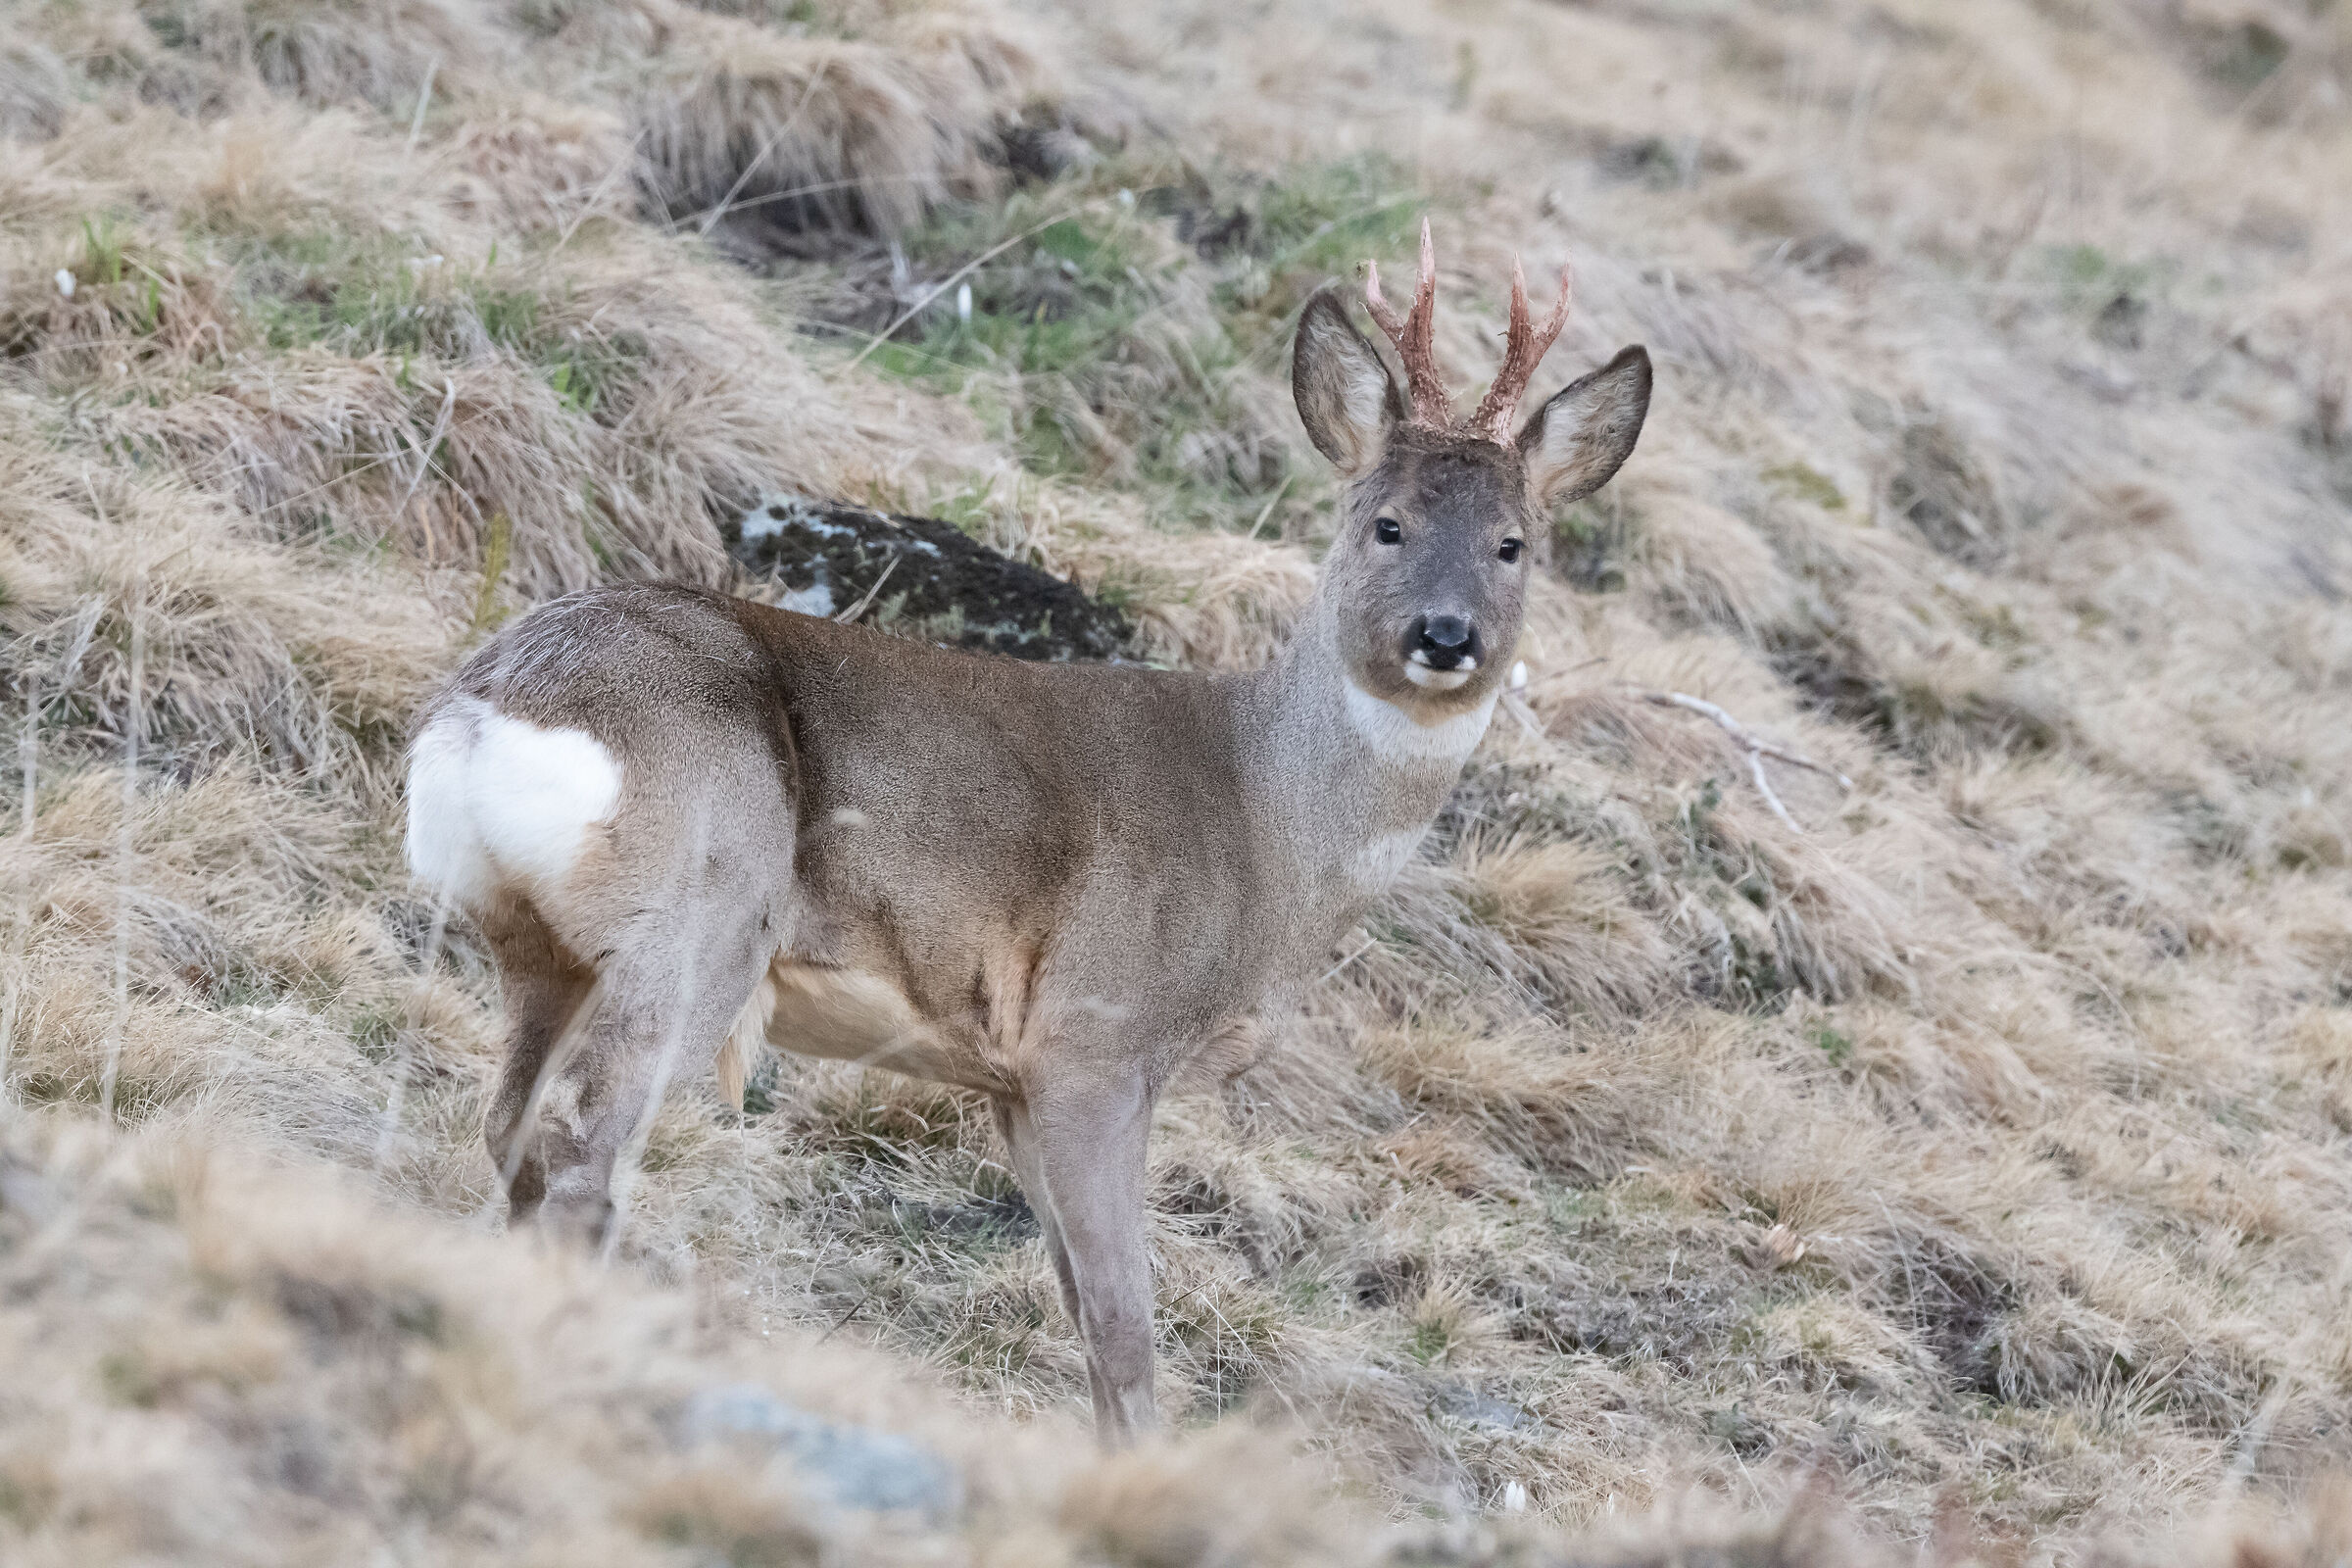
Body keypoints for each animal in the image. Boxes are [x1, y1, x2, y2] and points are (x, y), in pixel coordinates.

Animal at [403, 221, 1651, 1444]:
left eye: (1512, 544)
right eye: (1386, 523)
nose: (1446, 636)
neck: (1263, 825)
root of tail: (488, 706)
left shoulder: (1004, 1075)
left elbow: (1081, 1314)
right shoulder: (1093, 1035)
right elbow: (1125, 1328)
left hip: (544, 949)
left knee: (510, 1133)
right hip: (703, 911)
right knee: (579, 1156)